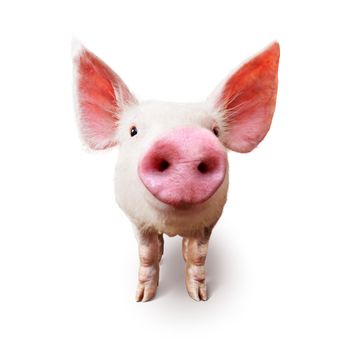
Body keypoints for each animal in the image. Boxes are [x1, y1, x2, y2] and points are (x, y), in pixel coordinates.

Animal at [72, 41, 280, 300]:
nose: (186, 140)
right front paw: (143, 298)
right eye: (133, 131)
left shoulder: (210, 221)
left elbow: (198, 255)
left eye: (215, 132)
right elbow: (147, 253)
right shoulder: (137, 220)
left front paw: (199, 297)